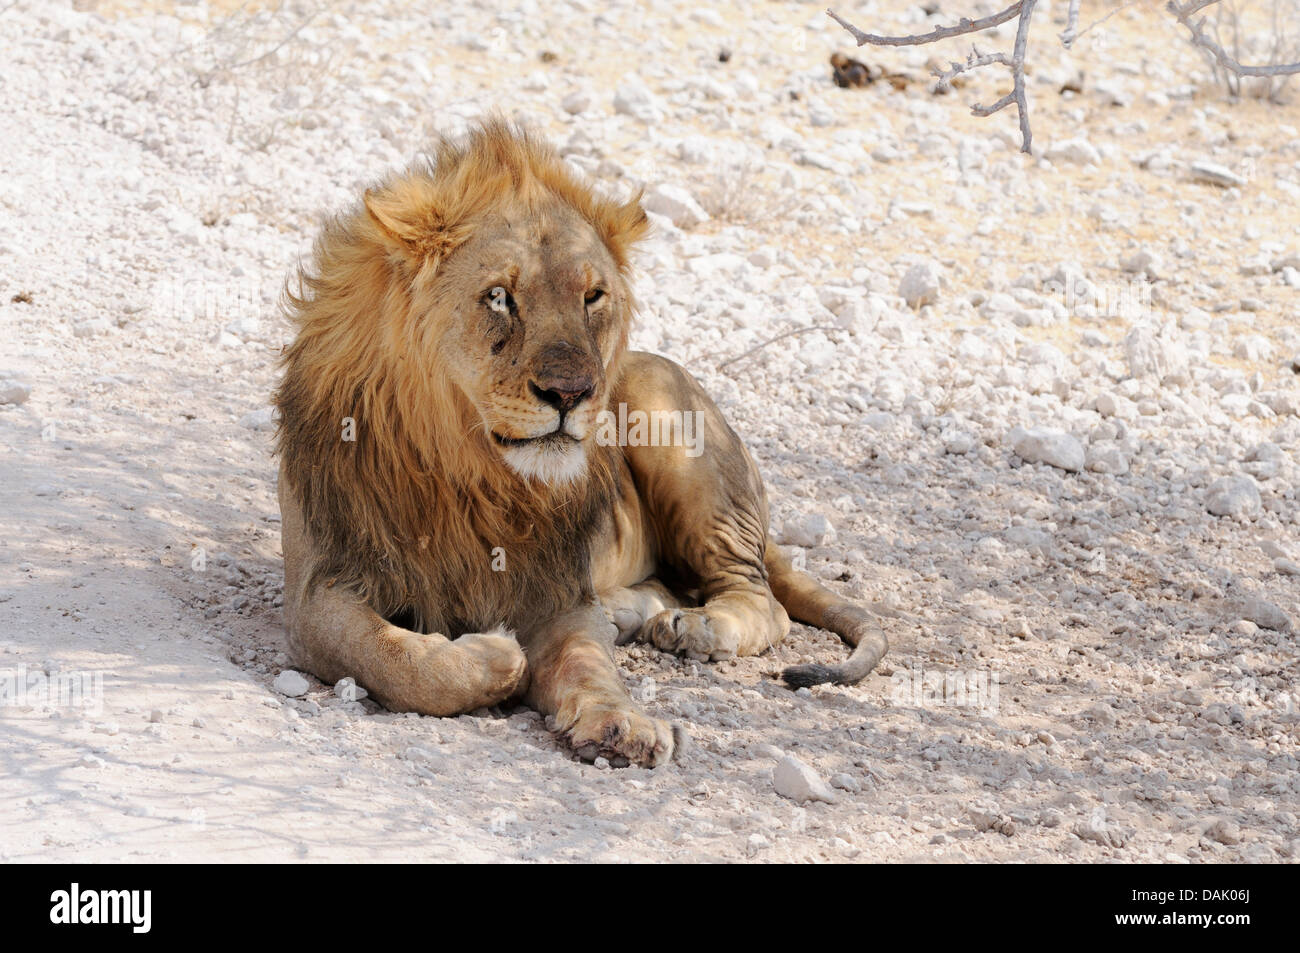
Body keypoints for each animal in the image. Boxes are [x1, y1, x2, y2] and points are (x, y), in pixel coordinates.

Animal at [273, 120, 888, 767]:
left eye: (592, 297)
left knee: (760, 597)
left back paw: (695, 628)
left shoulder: (558, 591)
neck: (466, 471)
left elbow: (588, 663)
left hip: (665, 413)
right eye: (499, 296)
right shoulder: (317, 589)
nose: (571, 393)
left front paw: (622, 722)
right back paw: (631, 614)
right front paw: (494, 654)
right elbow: (389, 656)